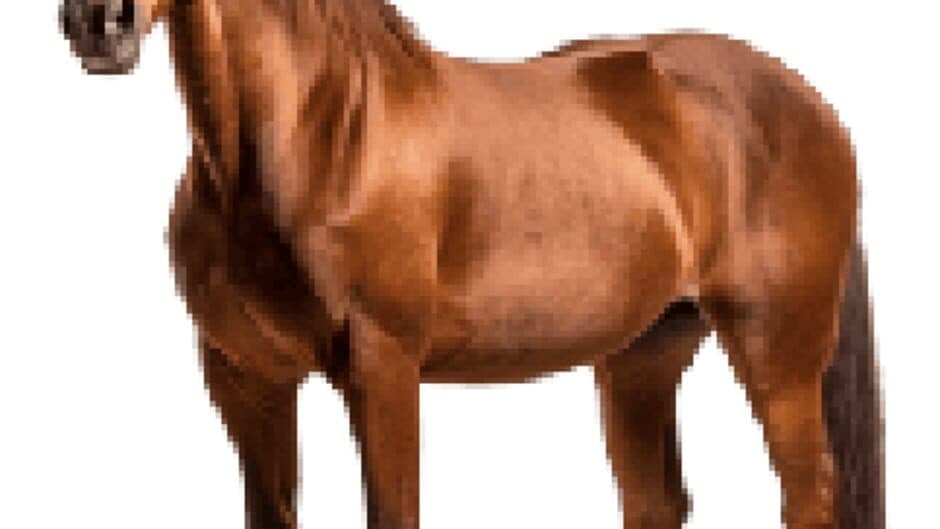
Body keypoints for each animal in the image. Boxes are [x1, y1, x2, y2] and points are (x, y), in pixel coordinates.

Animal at [59, 1, 884, 528]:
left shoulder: (382, 366)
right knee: (657, 500)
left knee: (810, 494)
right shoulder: (243, 375)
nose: (99, 22)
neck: (314, 135)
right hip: (644, 355)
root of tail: (812, 104)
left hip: (776, 352)